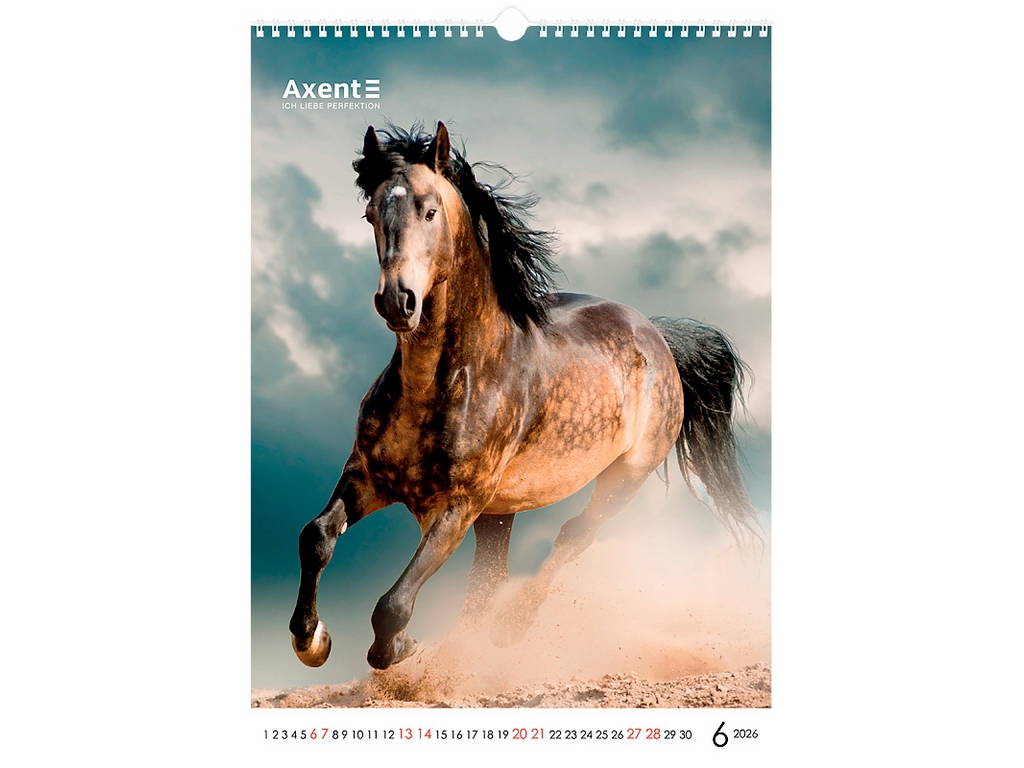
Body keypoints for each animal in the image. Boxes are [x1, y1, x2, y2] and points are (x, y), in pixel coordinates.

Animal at [289, 121, 760, 671]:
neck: (447, 382)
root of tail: (658, 336)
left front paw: (399, 648)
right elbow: (316, 536)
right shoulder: (367, 475)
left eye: (429, 210)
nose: (396, 301)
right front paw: (311, 640)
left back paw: (509, 630)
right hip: (501, 512)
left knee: (573, 536)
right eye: (370, 214)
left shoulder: (458, 506)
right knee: (488, 578)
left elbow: (393, 604)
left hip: (624, 477)